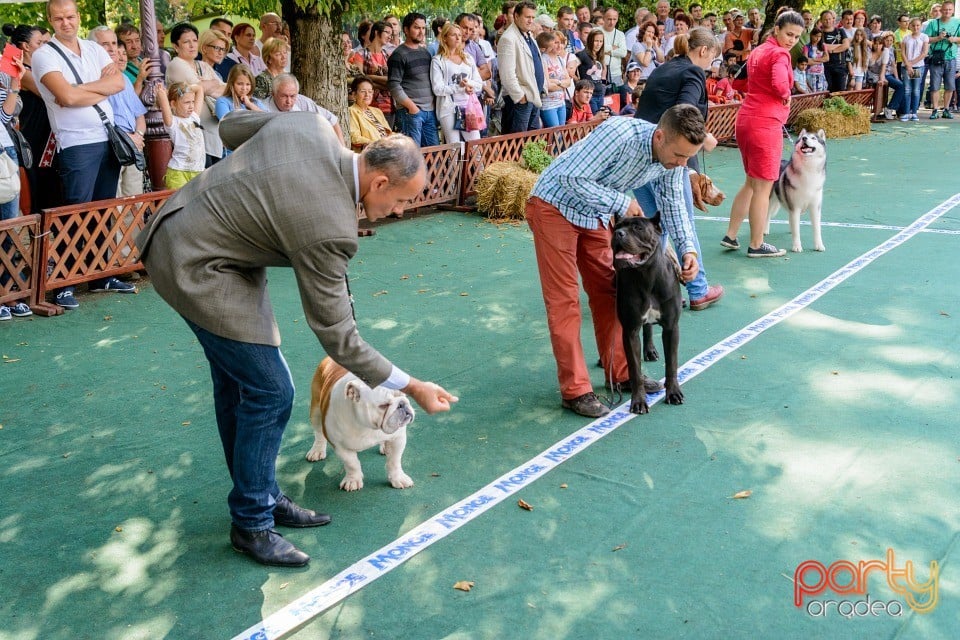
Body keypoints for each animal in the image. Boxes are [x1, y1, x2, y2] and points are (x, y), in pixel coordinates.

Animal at [616, 212, 684, 416]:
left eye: (638, 228)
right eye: (617, 227)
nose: (618, 234)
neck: (646, 276)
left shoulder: (671, 327)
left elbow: (671, 364)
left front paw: (673, 393)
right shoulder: (630, 330)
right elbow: (634, 370)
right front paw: (638, 401)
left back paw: (650, 350)